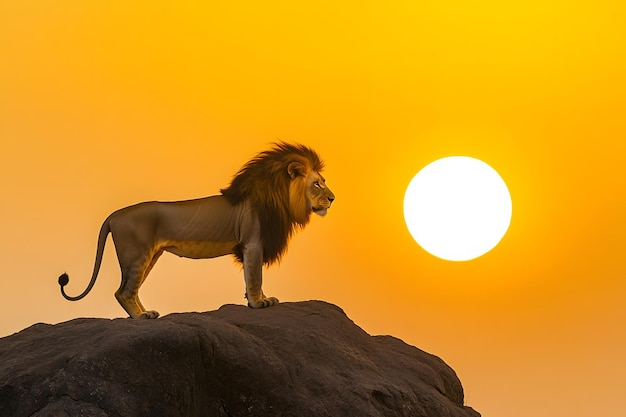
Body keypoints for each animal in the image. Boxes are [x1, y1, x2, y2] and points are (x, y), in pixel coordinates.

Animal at [56, 143, 334, 318]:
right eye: (317, 184)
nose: (333, 198)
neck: (280, 198)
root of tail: (114, 215)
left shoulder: (252, 246)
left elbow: (253, 277)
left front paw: (262, 299)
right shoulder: (253, 243)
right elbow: (255, 276)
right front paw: (258, 303)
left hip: (149, 256)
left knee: (127, 290)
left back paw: (146, 313)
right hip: (137, 254)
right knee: (123, 291)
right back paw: (142, 317)